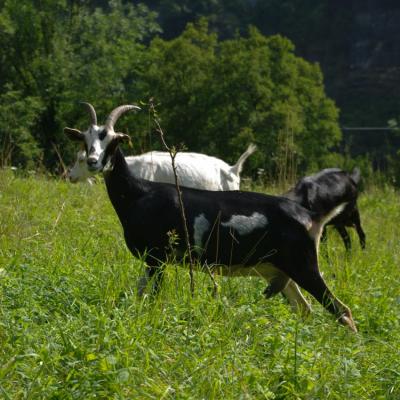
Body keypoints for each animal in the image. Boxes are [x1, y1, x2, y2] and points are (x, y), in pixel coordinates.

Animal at [64, 103, 358, 332]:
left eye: (113, 141)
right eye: (86, 141)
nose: (93, 161)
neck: (139, 193)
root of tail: (311, 215)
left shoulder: (157, 258)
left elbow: (152, 297)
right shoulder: (152, 261)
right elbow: (139, 293)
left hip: (304, 265)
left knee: (342, 311)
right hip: (278, 269)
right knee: (305, 309)